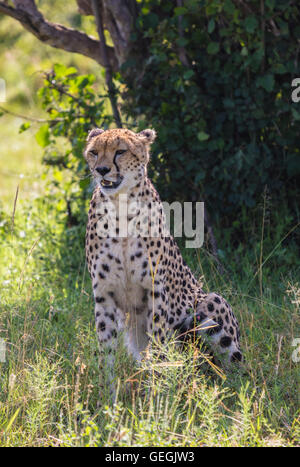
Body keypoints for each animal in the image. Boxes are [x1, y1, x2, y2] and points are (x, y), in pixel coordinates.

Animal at [84, 128, 241, 392]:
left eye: (120, 151)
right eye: (94, 152)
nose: (102, 170)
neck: (120, 207)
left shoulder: (155, 290)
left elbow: (158, 344)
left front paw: (157, 392)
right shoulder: (104, 294)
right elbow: (107, 351)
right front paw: (108, 394)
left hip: (210, 303)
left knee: (236, 368)